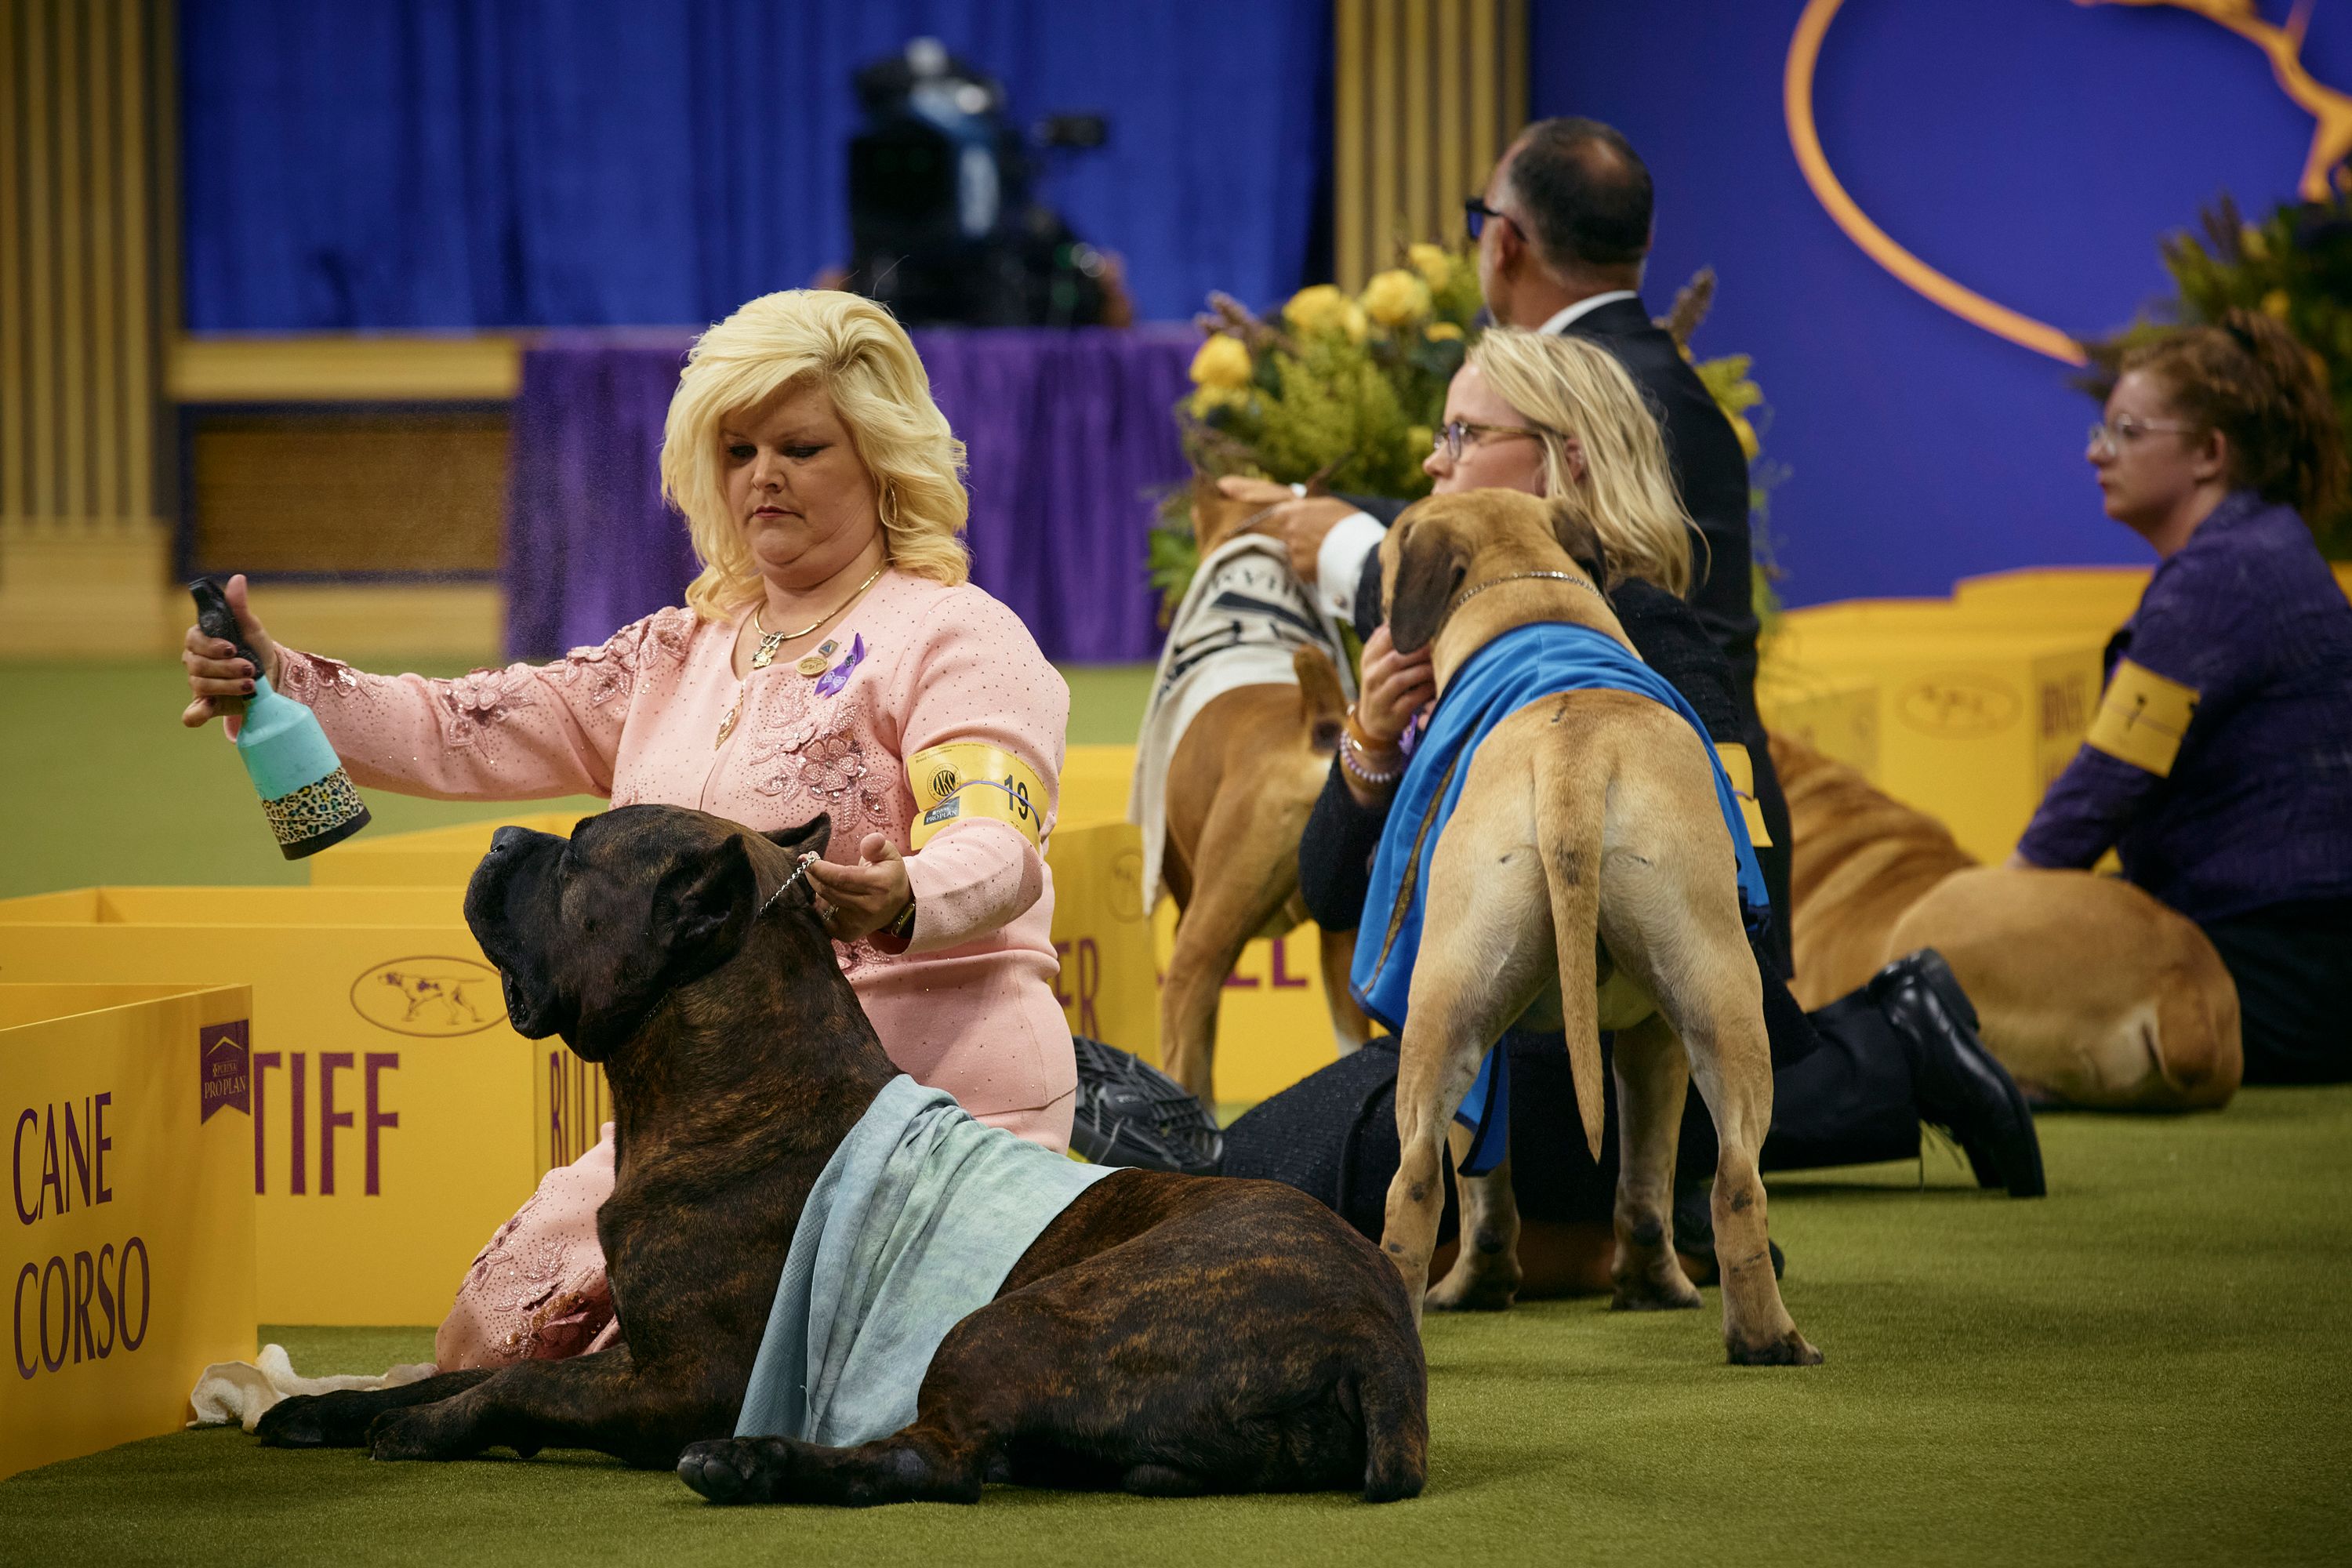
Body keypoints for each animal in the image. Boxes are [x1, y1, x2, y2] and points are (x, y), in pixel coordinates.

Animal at [260, 808, 1430, 1504]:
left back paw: (750, 1462)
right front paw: (326, 1406)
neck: (730, 1081)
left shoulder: (681, 1379)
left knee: (938, 1464)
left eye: (581, 854)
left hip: (1007, 1321)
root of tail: (1377, 1333)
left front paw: (427, 1427)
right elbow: (459, 1371)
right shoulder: (630, 1349)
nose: (504, 835)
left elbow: (516, 1386)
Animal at [1364, 491, 1816, 1363]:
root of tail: (1573, 760)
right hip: (1719, 1001)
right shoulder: (1654, 1040)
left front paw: (1484, 1282)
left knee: (1415, 1179)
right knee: (1736, 1180)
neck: (1529, 603)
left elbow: (1485, 1181)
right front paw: (1651, 1286)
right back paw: (1766, 1336)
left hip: (1446, 1012)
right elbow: (1643, 1178)